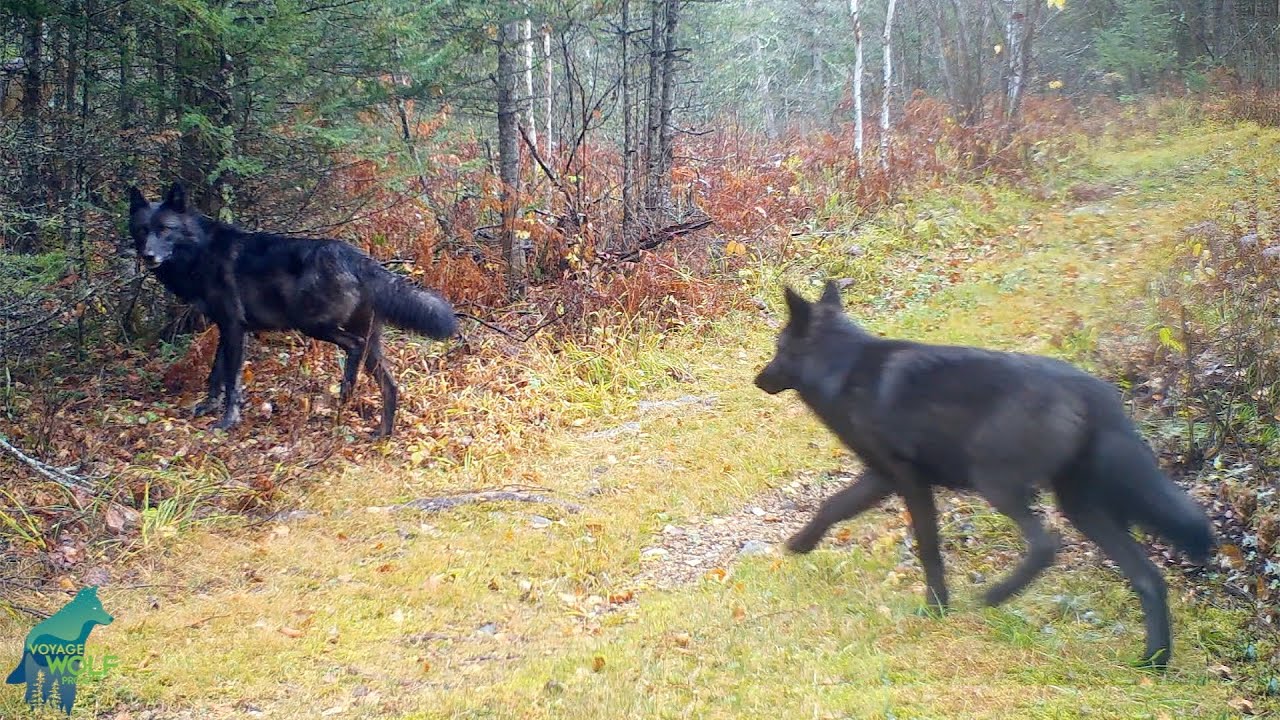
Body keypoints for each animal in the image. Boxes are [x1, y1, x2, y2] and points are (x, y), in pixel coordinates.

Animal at [127, 183, 458, 438]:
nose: (148, 255)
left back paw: (347, 389)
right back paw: (381, 433)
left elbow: (231, 381)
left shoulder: (233, 326)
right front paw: (207, 407)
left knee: (354, 348)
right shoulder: (226, 327)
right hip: (365, 342)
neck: (199, 250)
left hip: (312, 324)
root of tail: (358, 258)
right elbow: (216, 374)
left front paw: (227, 421)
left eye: (165, 230)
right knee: (390, 385)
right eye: (143, 230)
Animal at [755, 281, 1215, 668]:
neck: (843, 368)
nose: (757, 380)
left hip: (997, 485)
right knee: (1147, 577)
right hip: (1082, 508)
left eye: (778, 347)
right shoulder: (880, 476)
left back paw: (995, 596)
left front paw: (936, 607)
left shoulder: (909, 481)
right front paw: (800, 543)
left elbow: (928, 548)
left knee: (1047, 544)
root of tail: (1094, 392)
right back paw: (1153, 661)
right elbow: (832, 506)